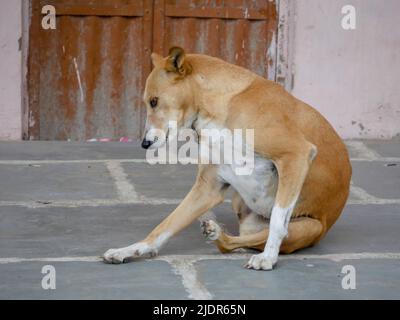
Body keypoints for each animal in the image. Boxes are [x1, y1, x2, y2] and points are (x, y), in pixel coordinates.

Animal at [102, 47, 350, 270]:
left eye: (154, 101)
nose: (144, 144)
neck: (221, 105)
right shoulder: (208, 187)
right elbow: (163, 228)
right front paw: (130, 250)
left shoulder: (296, 155)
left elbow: (279, 222)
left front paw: (268, 258)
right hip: (244, 211)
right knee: (230, 245)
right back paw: (217, 234)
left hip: (308, 227)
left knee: (263, 235)